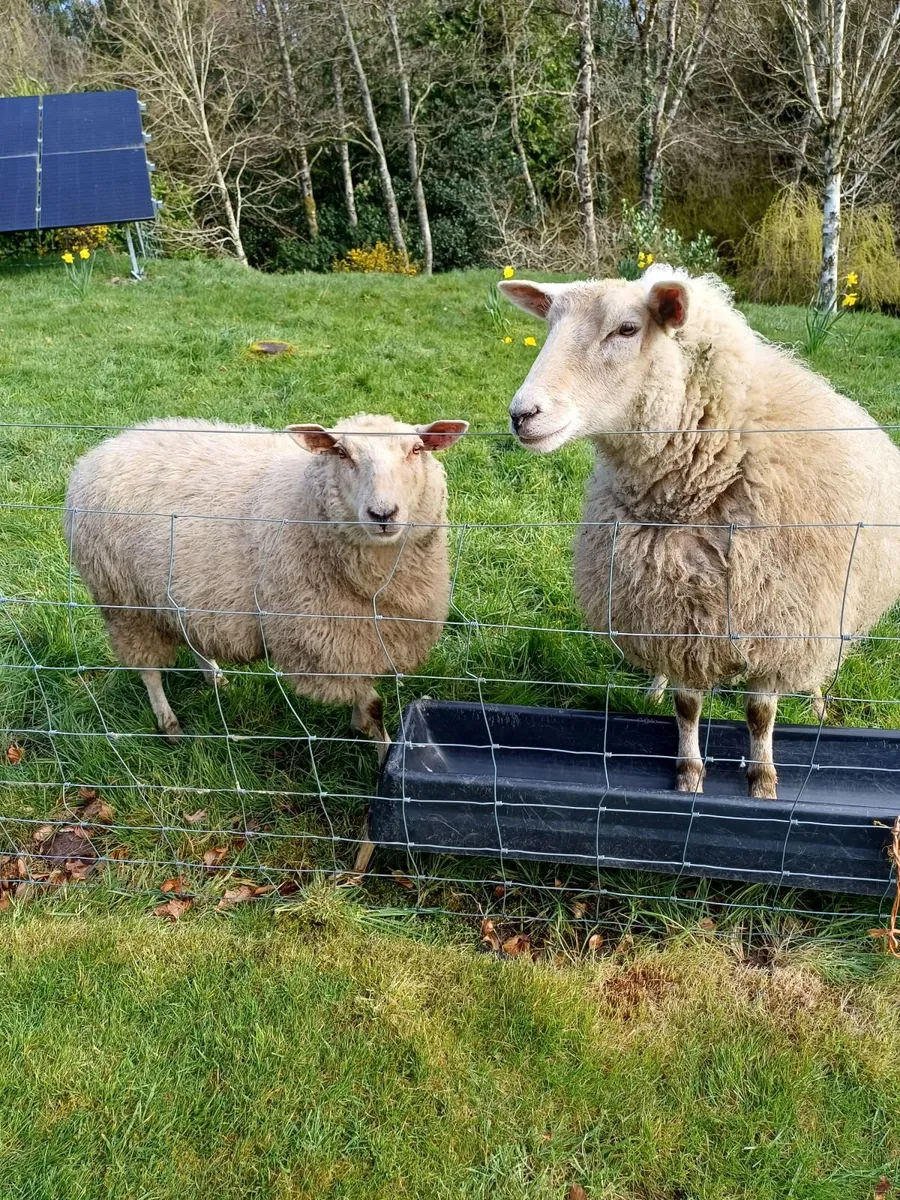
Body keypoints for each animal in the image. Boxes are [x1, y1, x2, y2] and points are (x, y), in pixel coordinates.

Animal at [64, 413, 467, 868]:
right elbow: (375, 711)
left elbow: (369, 708)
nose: (383, 513)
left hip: (182, 598)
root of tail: (104, 448)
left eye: (416, 450)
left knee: (194, 638)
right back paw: (170, 725)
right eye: (341, 453)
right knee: (149, 671)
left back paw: (215, 678)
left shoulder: (361, 642)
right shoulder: (325, 644)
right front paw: (383, 763)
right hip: (124, 602)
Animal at [500, 266, 900, 799]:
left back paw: (817, 700)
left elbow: (760, 713)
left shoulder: (779, 620)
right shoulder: (673, 614)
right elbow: (687, 706)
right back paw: (654, 687)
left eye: (627, 329)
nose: (522, 414)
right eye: (550, 328)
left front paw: (762, 780)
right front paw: (688, 774)